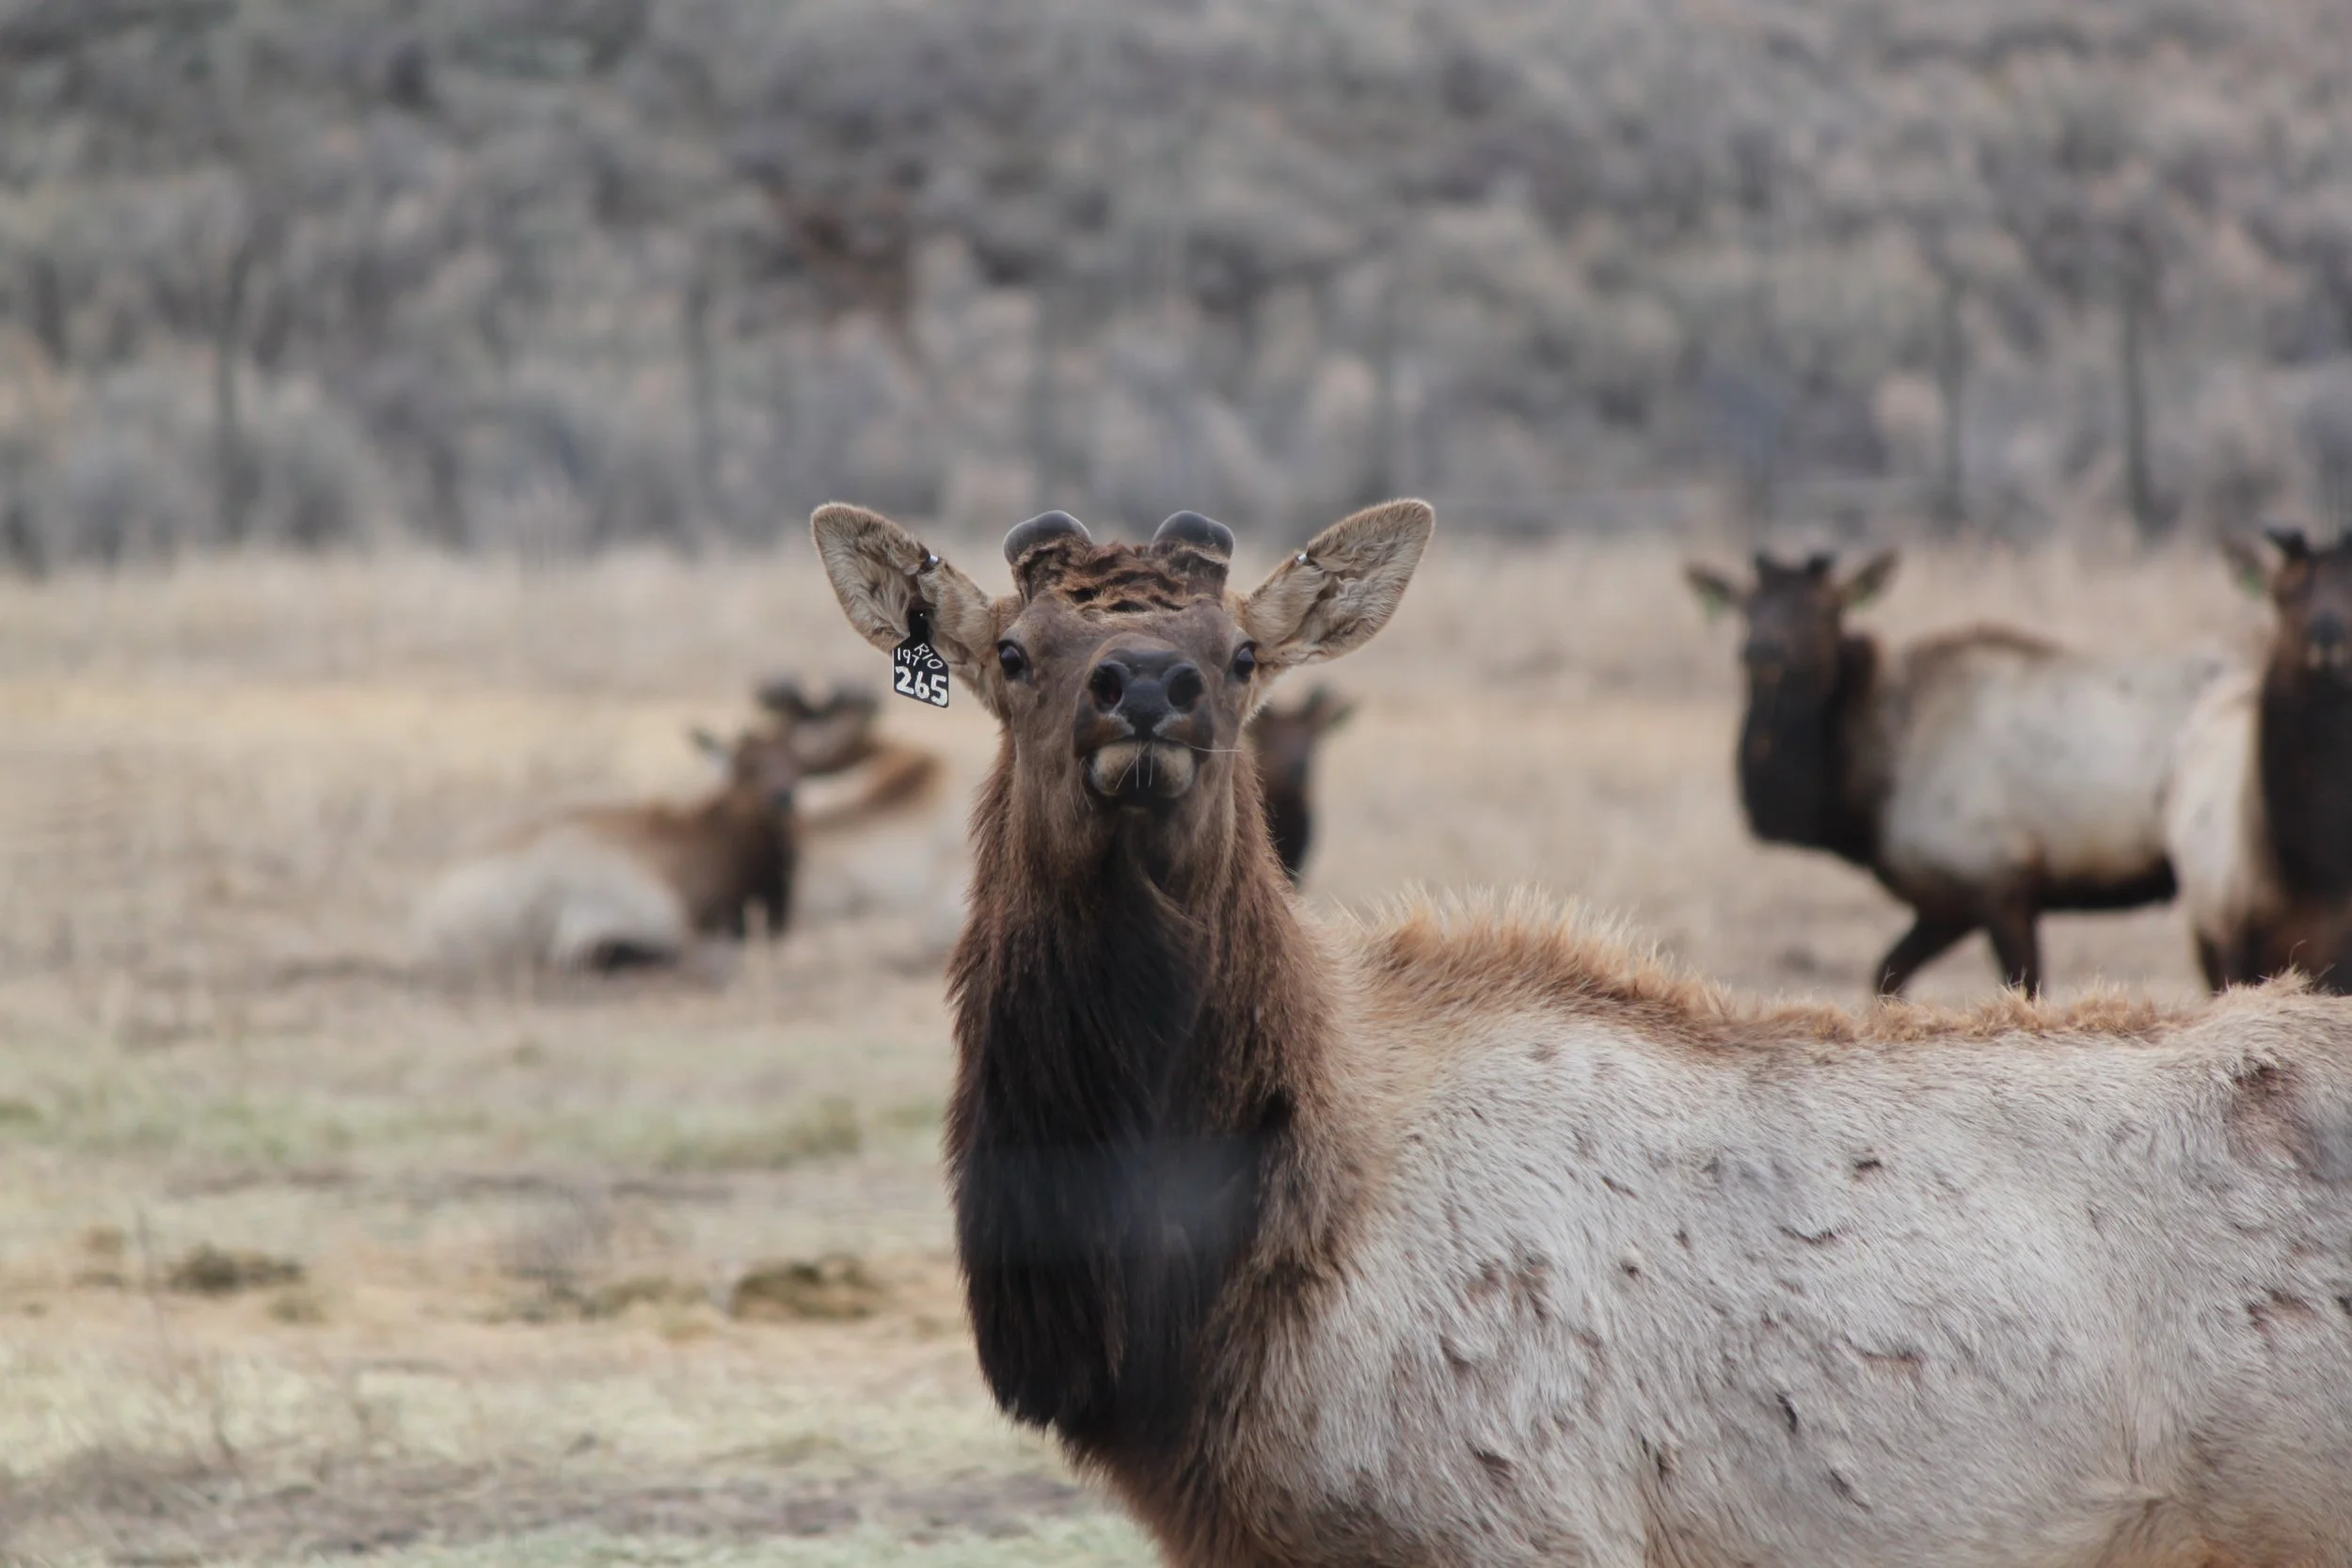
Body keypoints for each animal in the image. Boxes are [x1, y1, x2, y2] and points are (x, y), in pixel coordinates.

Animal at [1685, 549, 2225, 996]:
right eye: (1746, 607)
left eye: (1825, 611)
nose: (1761, 652)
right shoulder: (1945, 904)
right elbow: (1886, 977)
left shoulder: (1999, 880)